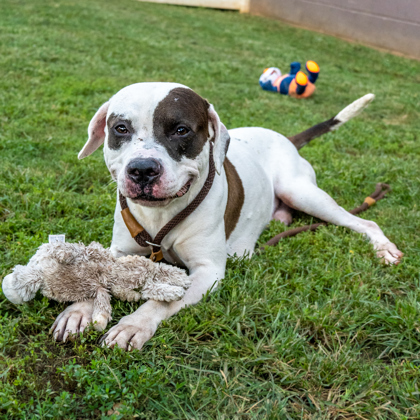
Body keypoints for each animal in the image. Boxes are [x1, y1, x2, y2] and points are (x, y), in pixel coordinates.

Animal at [50, 83, 402, 350]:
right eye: (120, 129)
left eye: (181, 130)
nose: (142, 170)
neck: (161, 215)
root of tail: (285, 138)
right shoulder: (121, 251)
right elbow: (97, 273)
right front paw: (80, 310)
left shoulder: (208, 271)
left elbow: (165, 300)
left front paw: (133, 325)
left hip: (302, 192)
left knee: (362, 221)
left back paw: (383, 248)